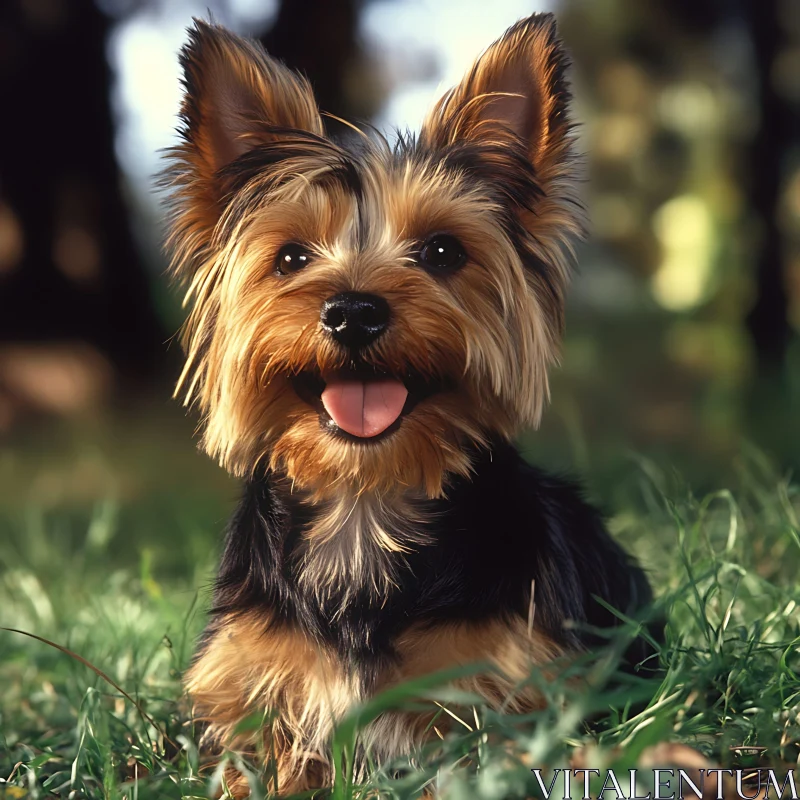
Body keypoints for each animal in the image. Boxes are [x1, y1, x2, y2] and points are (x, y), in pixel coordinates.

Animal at [162, 10, 656, 792]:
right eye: (292, 257)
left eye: (443, 252)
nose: (354, 311)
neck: (365, 500)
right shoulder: (253, 685)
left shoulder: (504, 688)